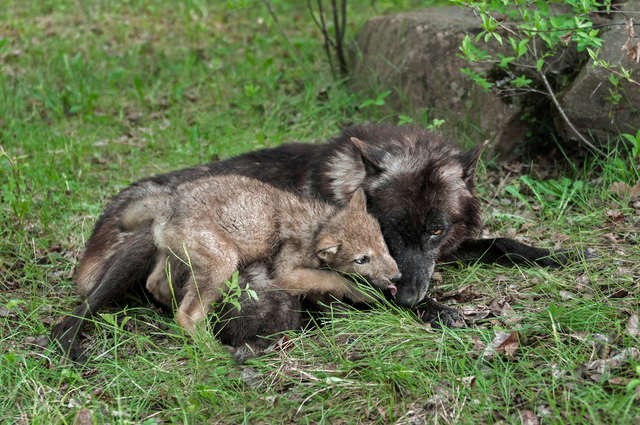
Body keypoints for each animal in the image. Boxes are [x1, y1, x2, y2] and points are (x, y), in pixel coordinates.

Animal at [51, 122, 576, 358]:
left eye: (436, 229)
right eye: (389, 231)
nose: (409, 297)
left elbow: (500, 242)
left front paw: (553, 254)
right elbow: (368, 290)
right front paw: (437, 309)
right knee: (82, 311)